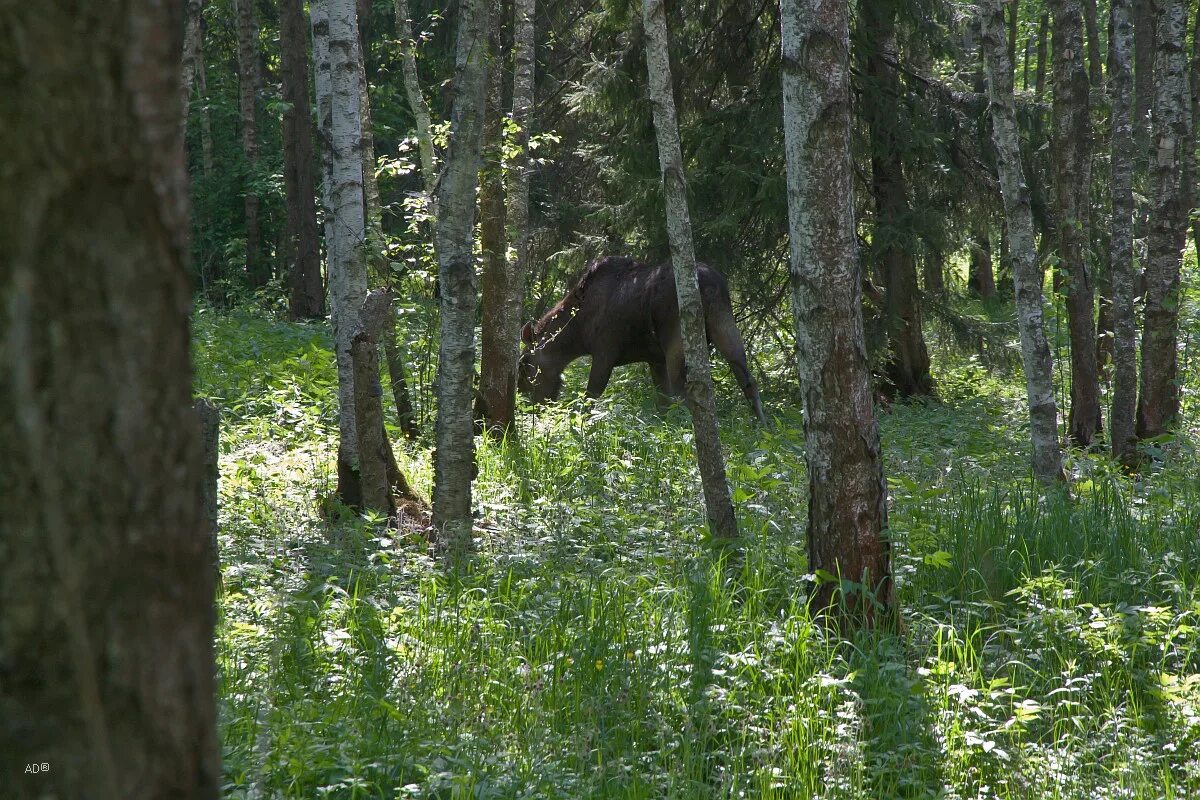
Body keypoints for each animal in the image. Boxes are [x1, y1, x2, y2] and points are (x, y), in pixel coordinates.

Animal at [518, 256, 763, 422]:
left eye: (525, 364)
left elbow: (590, 398)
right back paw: (762, 428)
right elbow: (662, 402)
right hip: (725, 323)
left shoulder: (604, 353)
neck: (577, 335)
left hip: (677, 339)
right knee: (748, 380)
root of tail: (711, 286)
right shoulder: (654, 359)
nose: (526, 405)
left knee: (685, 392)